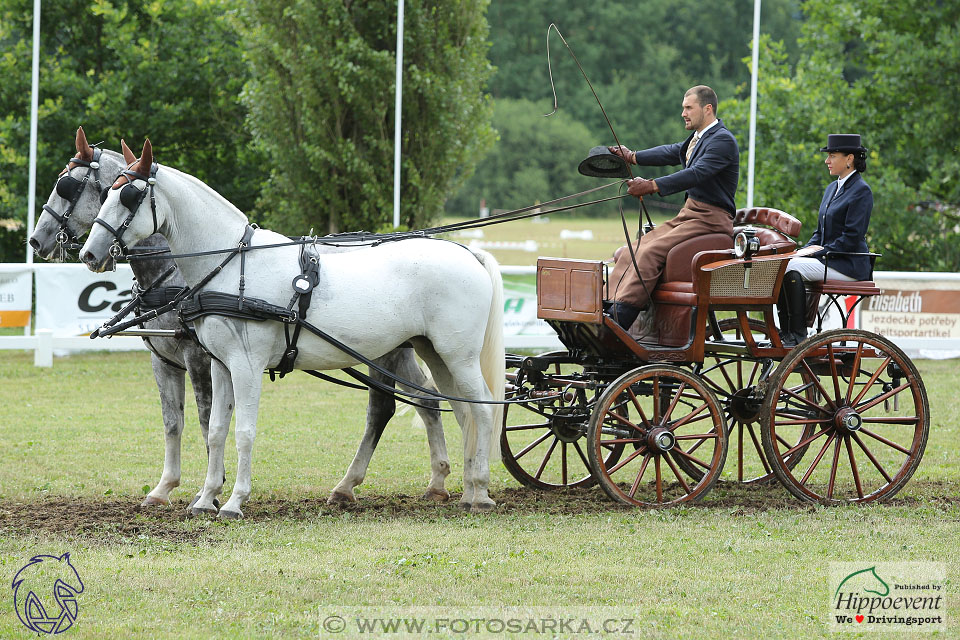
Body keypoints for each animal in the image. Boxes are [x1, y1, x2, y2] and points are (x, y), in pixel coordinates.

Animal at [79, 140, 506, 516]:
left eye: (128, 196)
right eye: (106, 193)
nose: (88, 253)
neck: (231, 264)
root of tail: (469, 253)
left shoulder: (246, 365)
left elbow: (244, 431)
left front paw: (233, 502)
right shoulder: (219, 364)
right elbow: (216, 429)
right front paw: (205, 499)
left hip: (458, 356)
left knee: (483, 410)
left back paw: (481, 493)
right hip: (434, 353)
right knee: (460, 410)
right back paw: (466, 490)